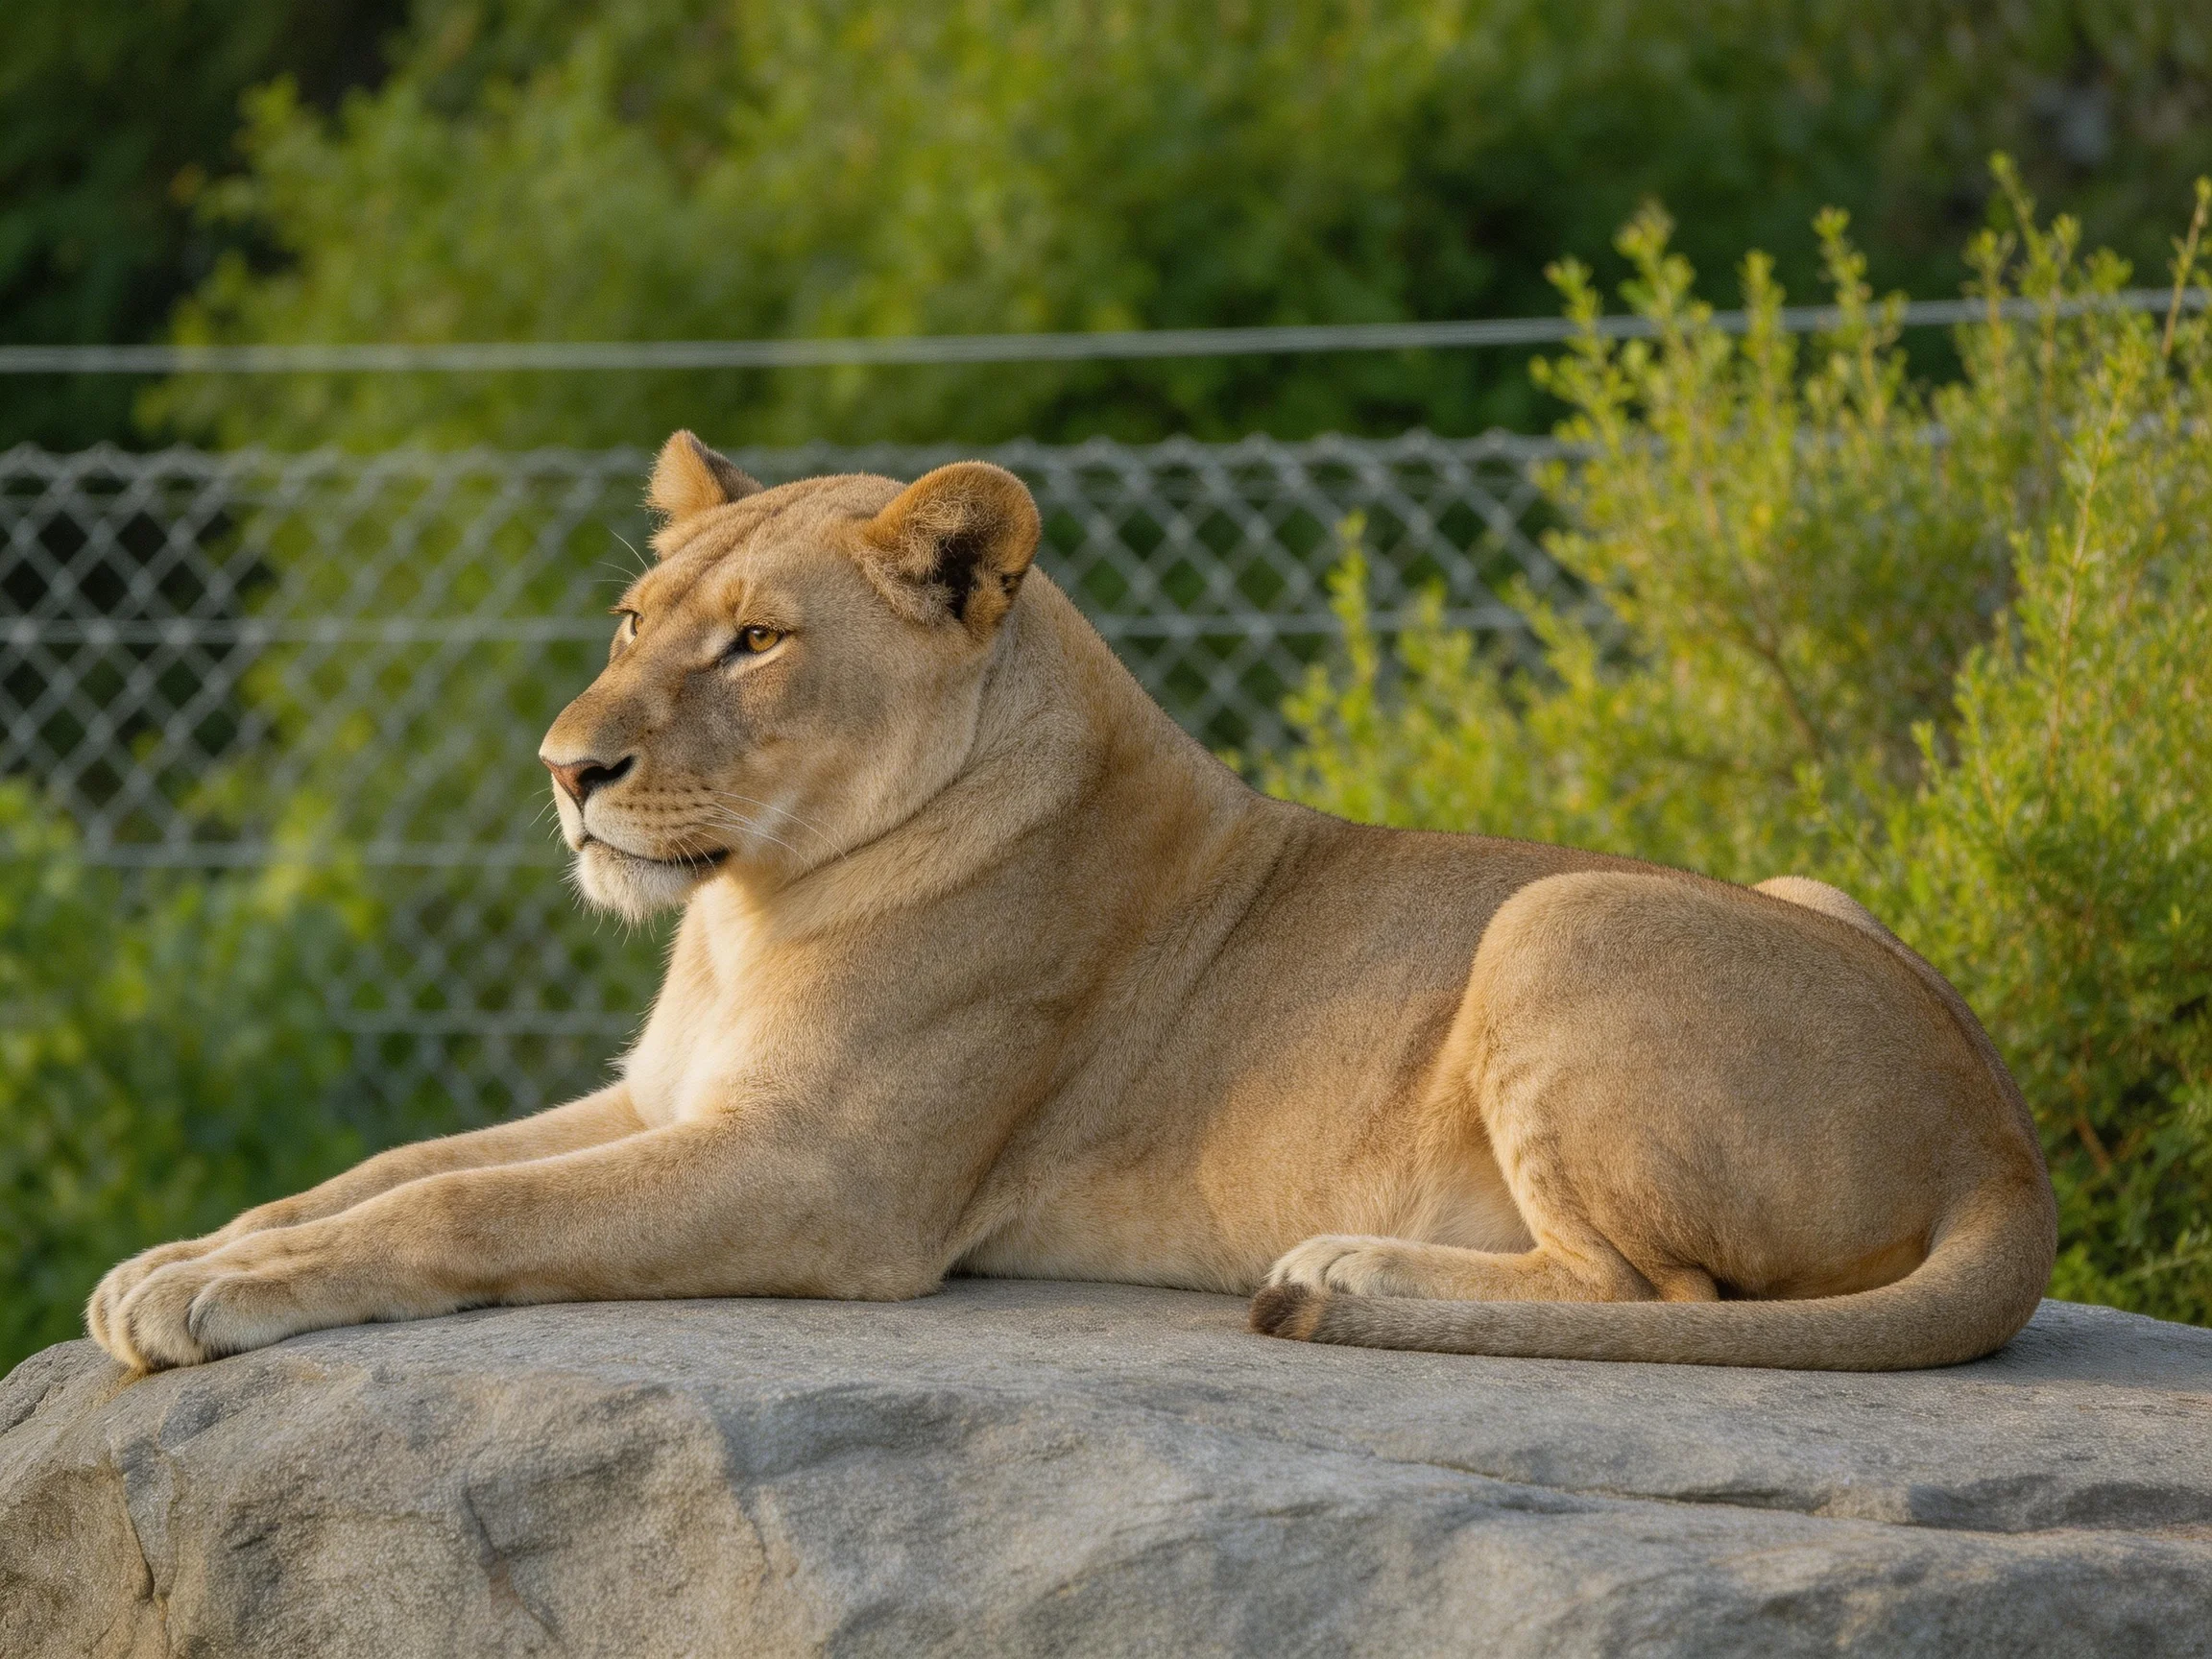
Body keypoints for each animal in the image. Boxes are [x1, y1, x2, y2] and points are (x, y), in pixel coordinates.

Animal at [87, 431, 2056, 1373]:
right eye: (634, 621)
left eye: (757, 642)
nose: (570, 767)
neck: (741, 914)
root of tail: (2005, 1153)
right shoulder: (661, 1101)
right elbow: (388, 1165)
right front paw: (182, 1255)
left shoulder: (826, 1180)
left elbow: (465, 1209)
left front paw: (217, 1294)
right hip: (1795, 888)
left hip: (1555, 914)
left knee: (1662, 1292)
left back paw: (1337, 1267)